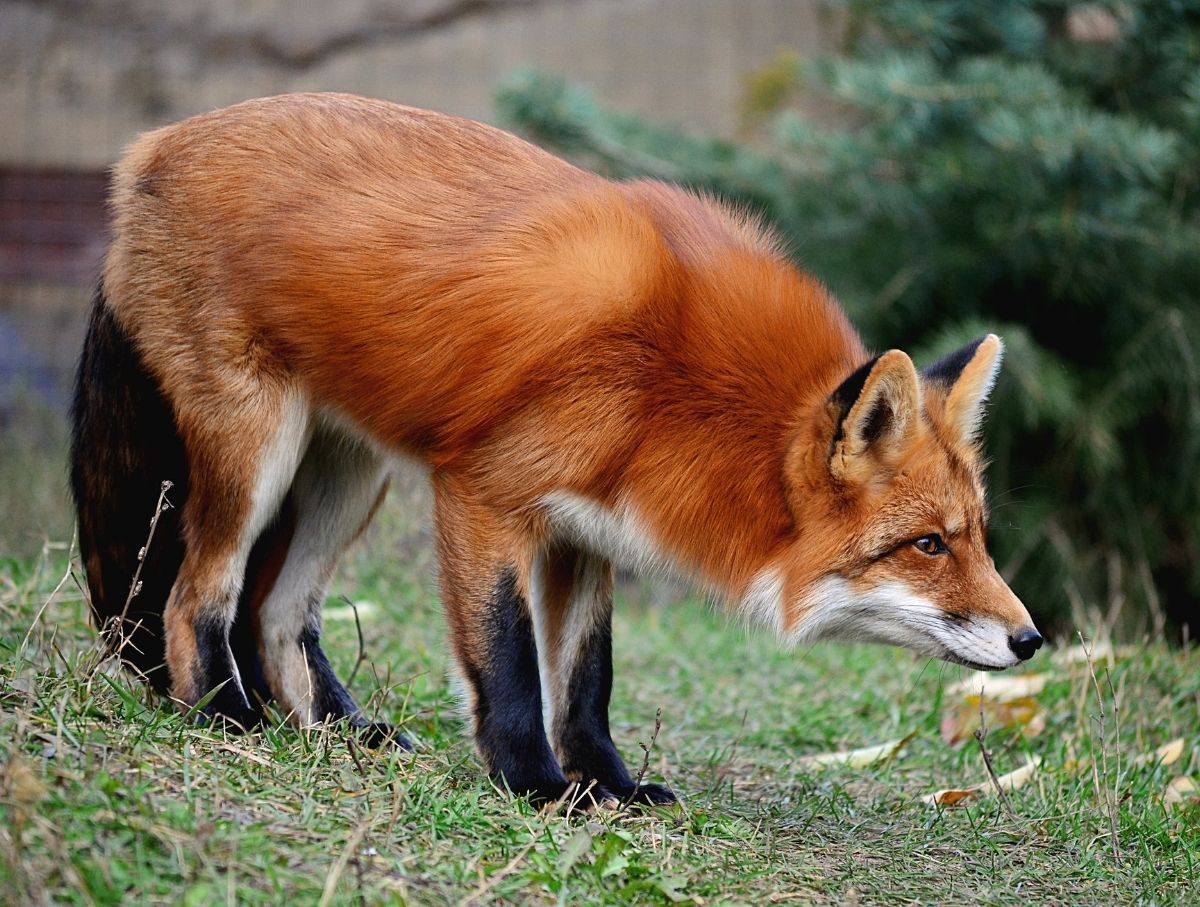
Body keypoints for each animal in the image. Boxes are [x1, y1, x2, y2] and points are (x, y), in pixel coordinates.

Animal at [70, 90, 1036, 801]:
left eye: (979, 536)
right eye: (927, 544)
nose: (1031, 641)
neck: (680, 382)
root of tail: (146, 150)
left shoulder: (586, 531)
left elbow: (585, 678)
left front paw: (611, 786)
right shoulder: (483, 493)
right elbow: (509, 663)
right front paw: (534, 783)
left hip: (349, 475)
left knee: (278, 612)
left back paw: (340, 732)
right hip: (257, 455)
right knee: (197, 597)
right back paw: (225, 721)